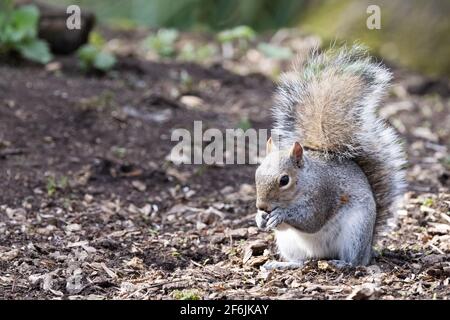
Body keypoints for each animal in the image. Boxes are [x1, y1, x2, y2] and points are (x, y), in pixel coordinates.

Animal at [255, 44, 406, 270]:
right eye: (256, 174)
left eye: (284, 180)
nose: (262, 206)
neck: (305, 181)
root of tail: (369, 247)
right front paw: (260, 218)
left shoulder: (323, 193)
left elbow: (311, 220)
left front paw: (281, 214)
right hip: (290, 244)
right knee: (301, 262)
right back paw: (282, 265)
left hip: (356, 233)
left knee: (356, 262)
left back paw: (343, 264)